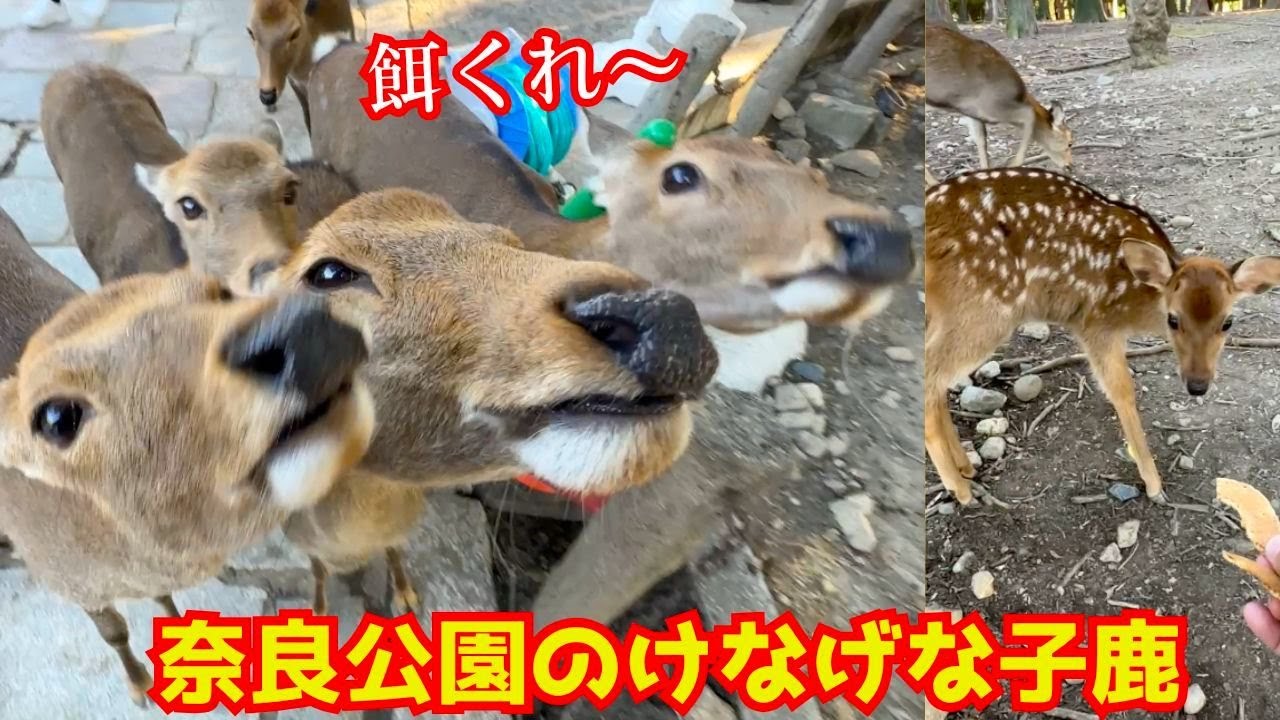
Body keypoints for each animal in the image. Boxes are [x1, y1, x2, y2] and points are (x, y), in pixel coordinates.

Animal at [0, 206, 376, 705]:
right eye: (55, 416)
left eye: (219, 292)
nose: (297, 328)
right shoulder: (65, 580)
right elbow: (114, 632)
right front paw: (140, 686)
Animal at [925, 25, 1074, 173]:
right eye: (1069, 143)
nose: (1069, 166)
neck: (1018, 97)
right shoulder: (991, 105)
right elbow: (1029, 115)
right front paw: (1012, 166)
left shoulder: (973, 112)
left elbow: (981, 140)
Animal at [925, 168, 1280, 506]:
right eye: (1173, 319)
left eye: (1228, 322)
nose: (1197, 385)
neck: (1139, 297)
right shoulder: (1096, 323)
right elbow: (1122, 391)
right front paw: (1154, 485)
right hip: (985, 309)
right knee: (931, 379)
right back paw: (961, 490)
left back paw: (966, 467)